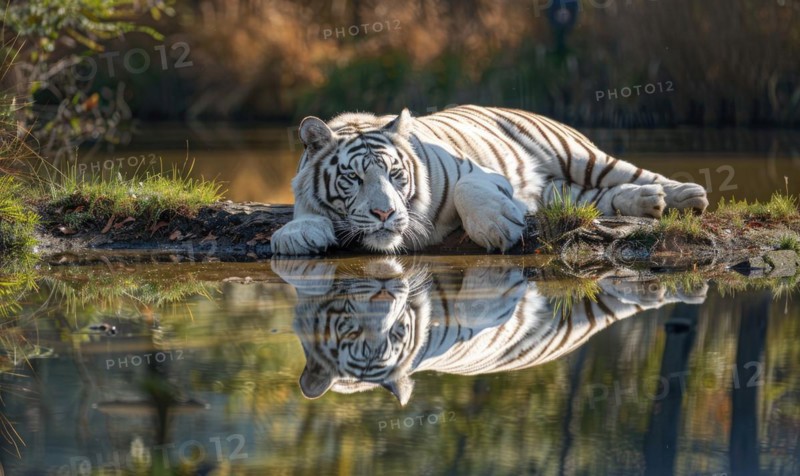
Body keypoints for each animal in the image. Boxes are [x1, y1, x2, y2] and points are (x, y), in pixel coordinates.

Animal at [271, 105, 709, 254]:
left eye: (396, 176)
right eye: (353, 178)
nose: (384, 214)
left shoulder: (478, 172)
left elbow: (469, 187)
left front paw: (498, 227)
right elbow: (303, 212)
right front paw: (296, 234)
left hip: (578, 156)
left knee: (634, 172)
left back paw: (687, 195)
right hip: (566, 191)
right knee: (599, 198)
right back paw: (650, 201)